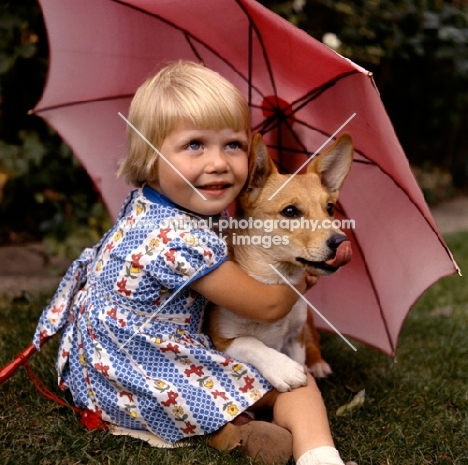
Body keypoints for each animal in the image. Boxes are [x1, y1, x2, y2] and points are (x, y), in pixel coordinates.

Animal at [203, 133, 352, 392]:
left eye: (330, 208)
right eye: (290, 211)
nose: (341, 242)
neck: (277, 281)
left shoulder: (295, 338)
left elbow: (300, 354)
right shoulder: (220, 338)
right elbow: (249, 341)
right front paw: (282, 368)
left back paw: (319, 365)